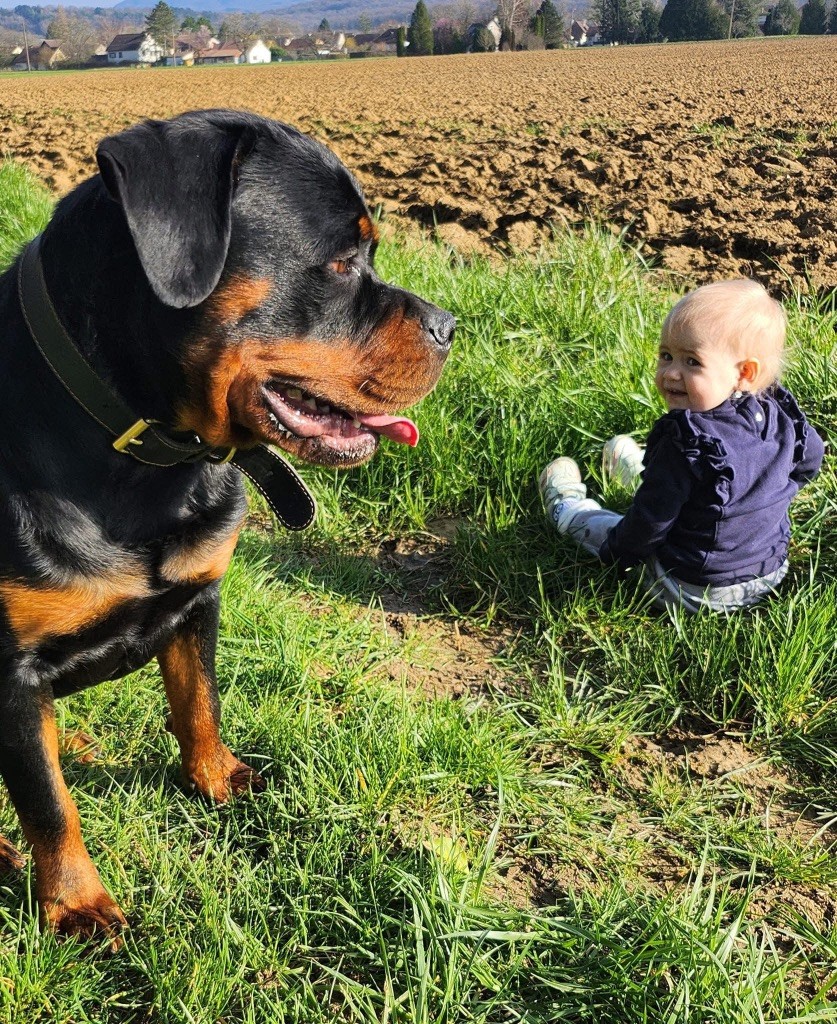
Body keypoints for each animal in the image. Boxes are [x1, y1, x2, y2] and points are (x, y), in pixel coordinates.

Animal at [0, 110, 454, 942]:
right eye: (340, 262)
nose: (450, 326)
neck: (144, 460)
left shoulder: (198, 598)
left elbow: (199, 702)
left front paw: (218, 778)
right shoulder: (10, 668)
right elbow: (48, 804)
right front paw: (75, 902)